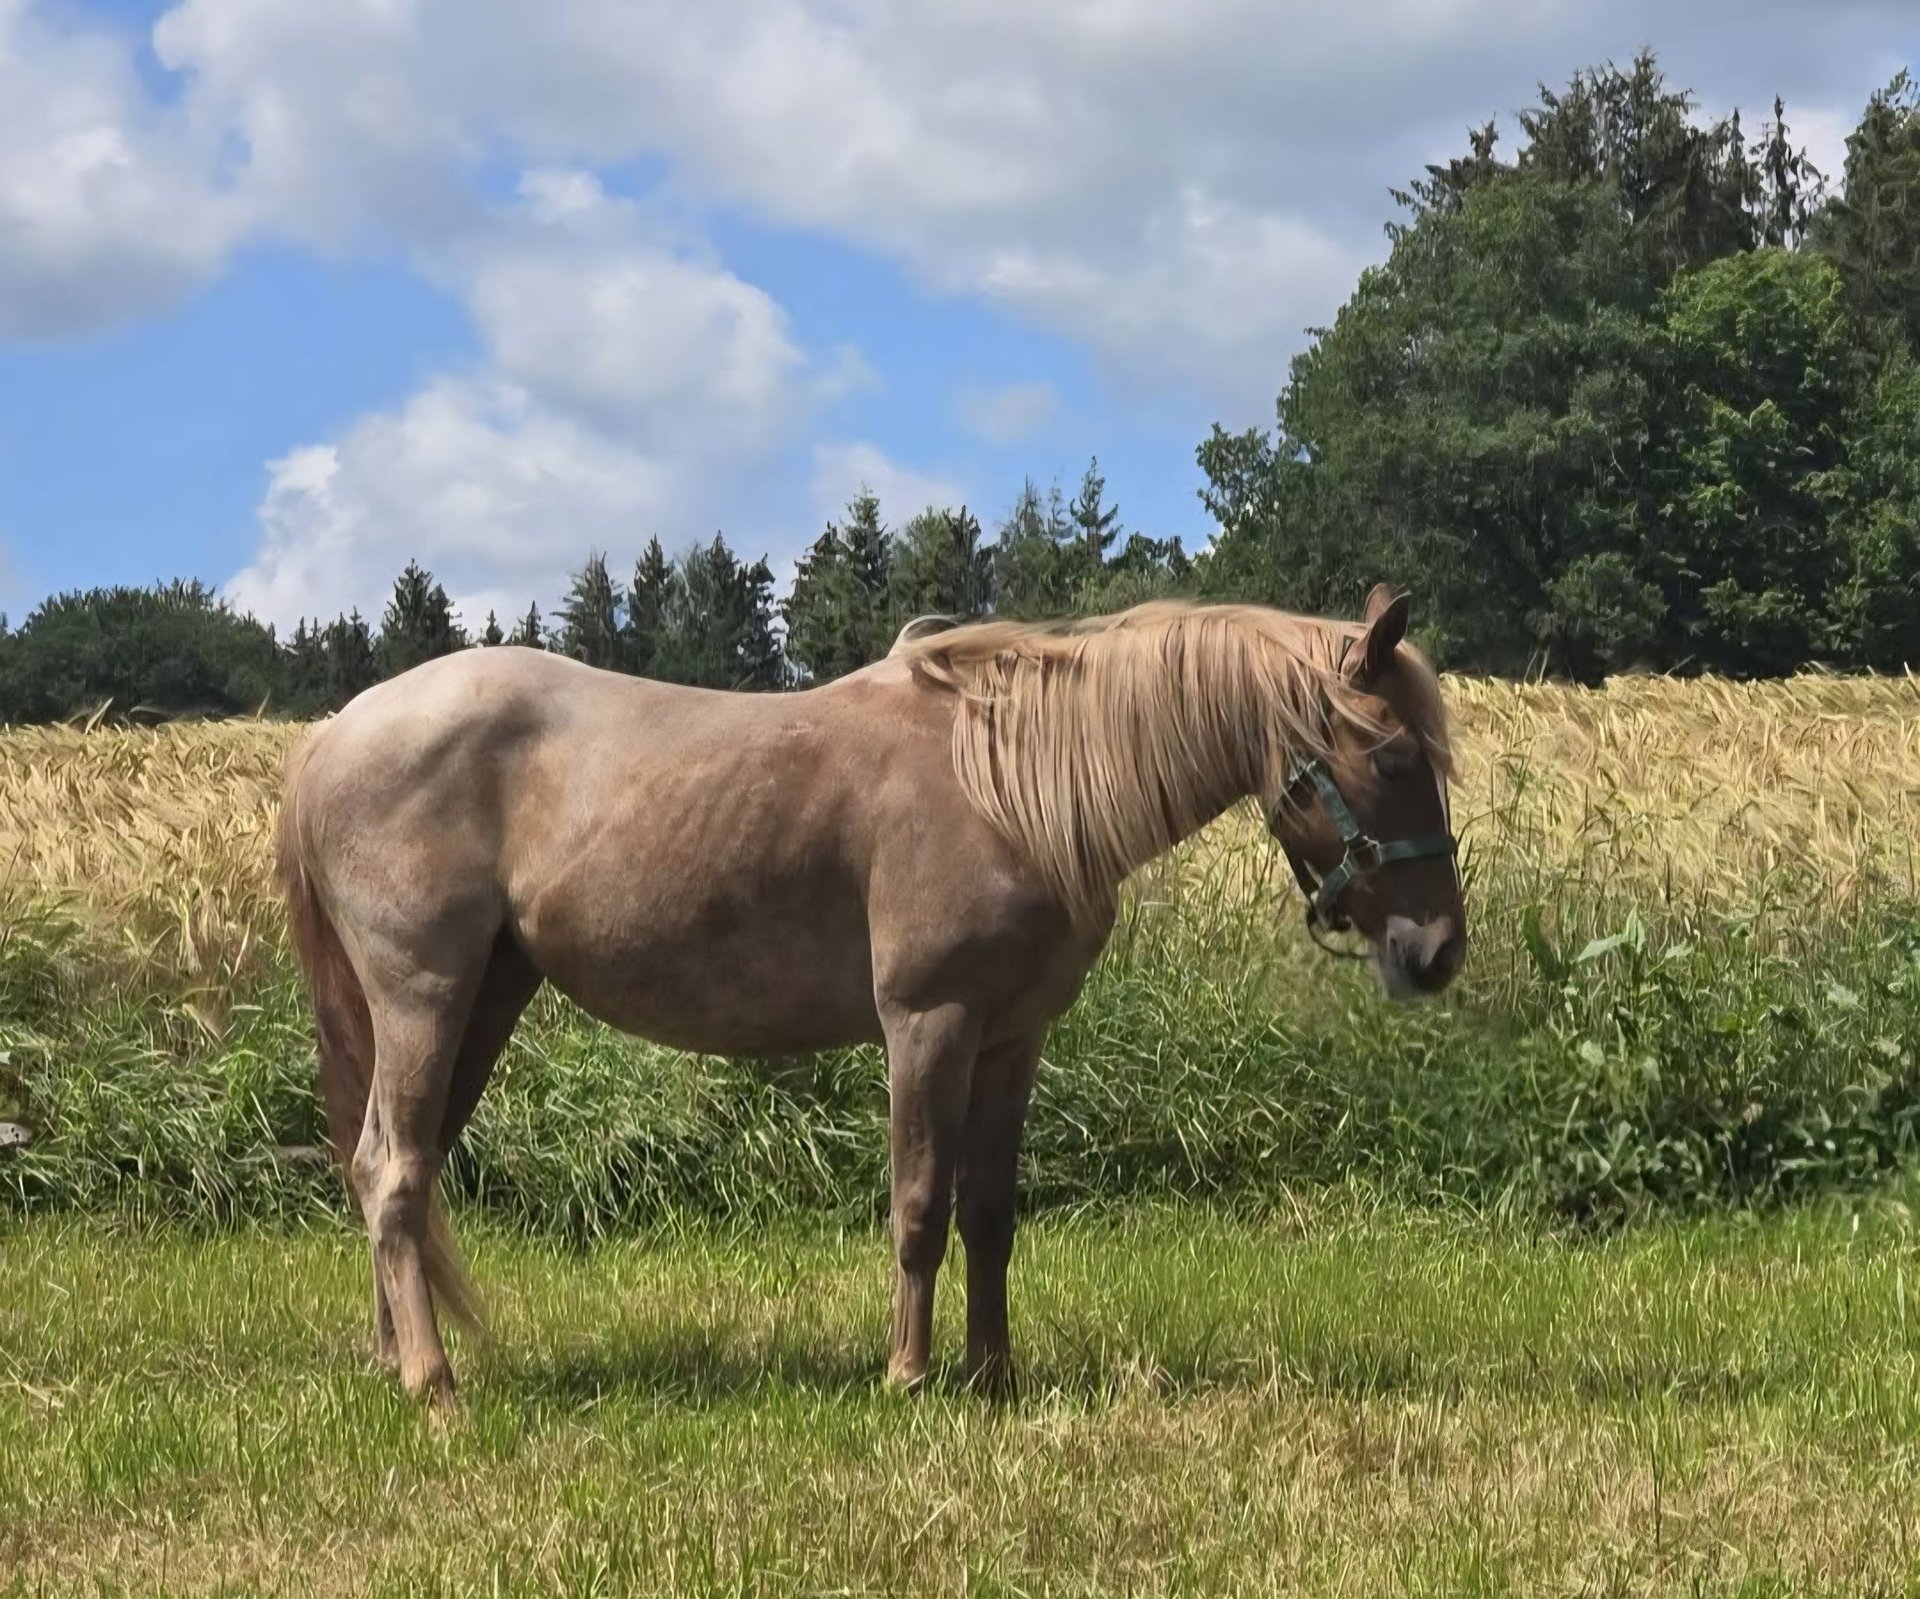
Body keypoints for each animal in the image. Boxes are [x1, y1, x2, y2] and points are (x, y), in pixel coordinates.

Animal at [275, 583, 1464, 1408]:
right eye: (1394, 757)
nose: (1437, 952)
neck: (1009, 787)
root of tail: (332, 736)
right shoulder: (928, 1024)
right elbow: (920, 1204)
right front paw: (908, 1375)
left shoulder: (1013, 1040)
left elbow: (990, 1212)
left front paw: (993, 1375)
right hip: (424, 998)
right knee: (392, 1167)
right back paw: (433, 1385)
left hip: (485, 998)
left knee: (400, 1171)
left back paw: (394, 1358)